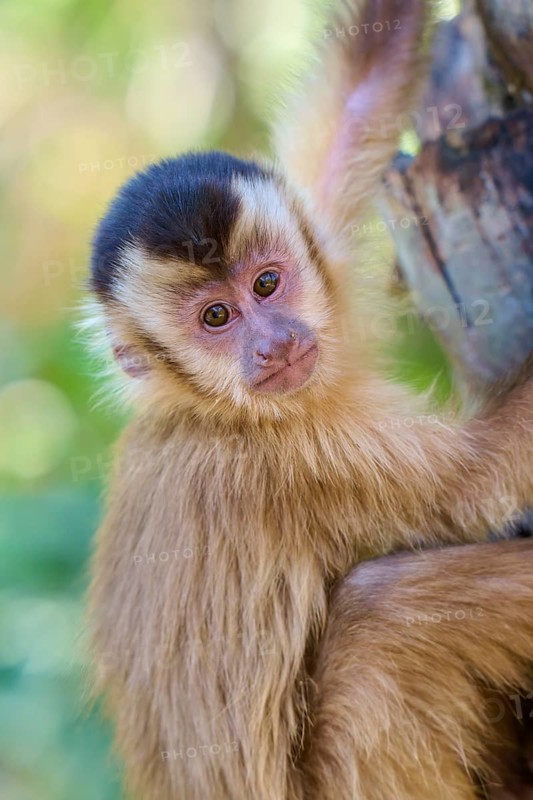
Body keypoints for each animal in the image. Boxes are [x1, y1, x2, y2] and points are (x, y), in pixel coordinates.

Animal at [86, 1, 533, 798]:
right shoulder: (287, 460)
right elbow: (480, 478)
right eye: (216, 318)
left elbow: (357, 101)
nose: (273, 343)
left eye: (266, 284)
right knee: (385, 613)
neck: (210, 408)